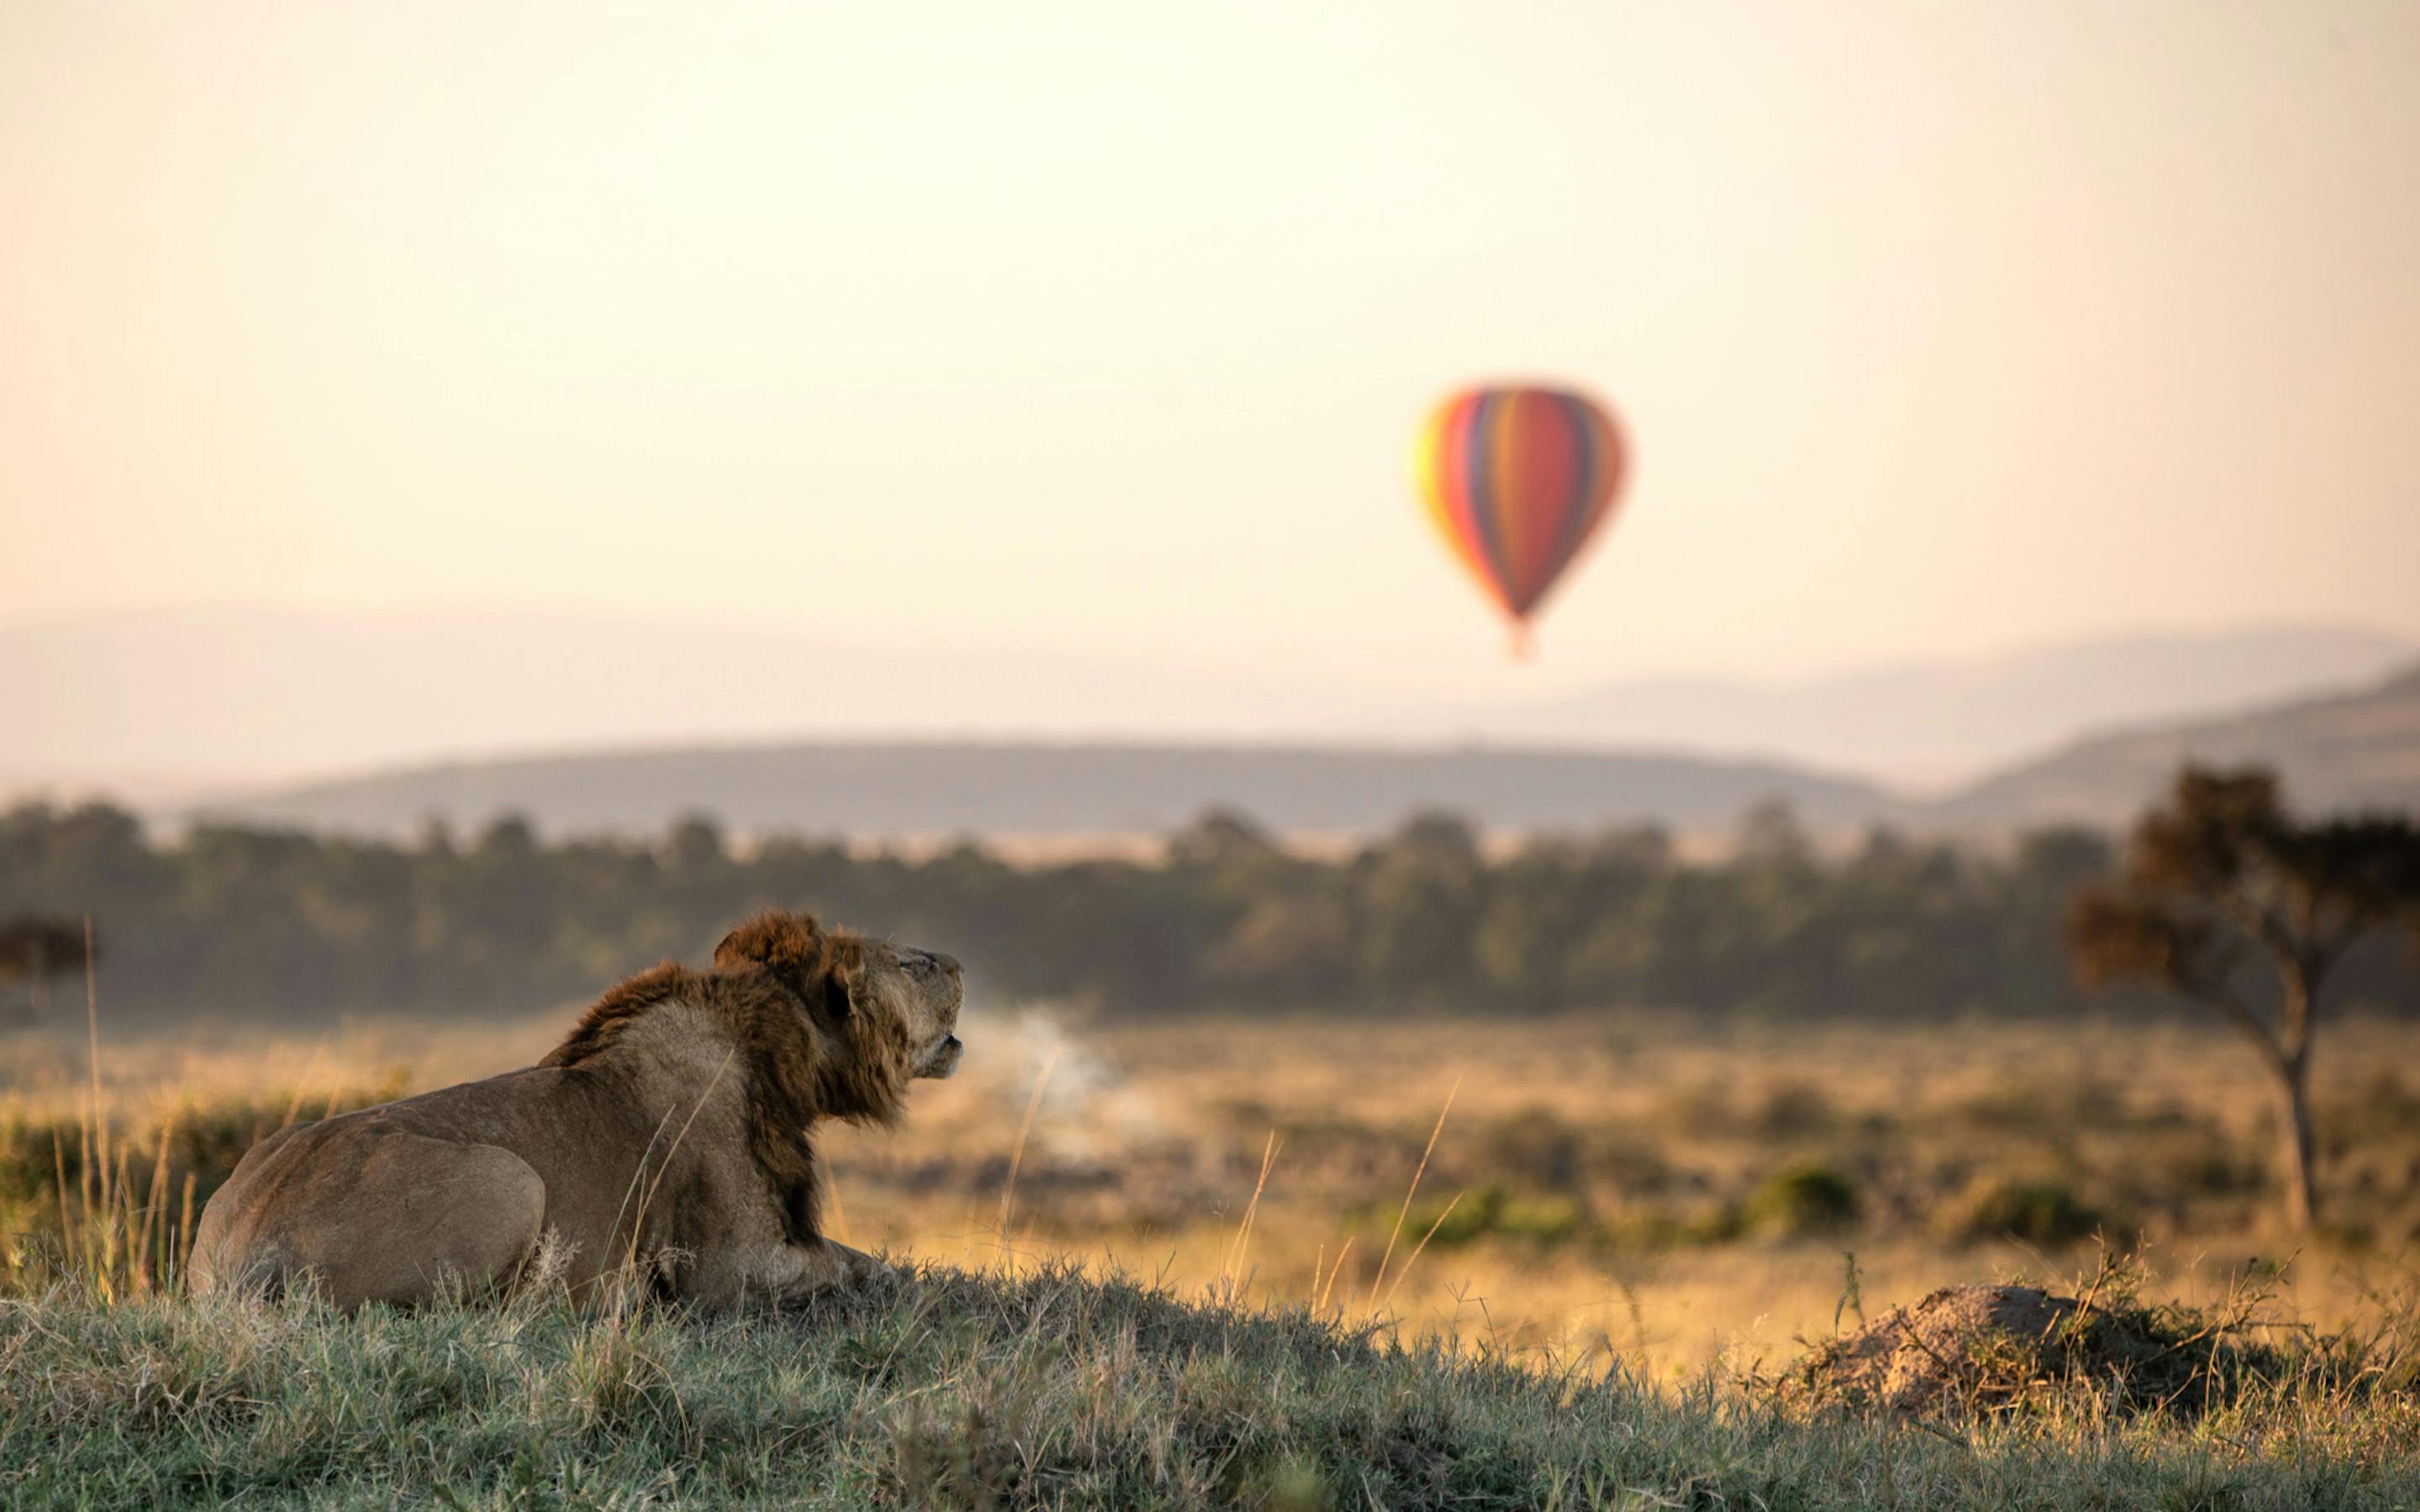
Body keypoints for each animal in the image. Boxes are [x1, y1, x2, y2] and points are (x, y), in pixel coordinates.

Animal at [189, 910, 963, 1310]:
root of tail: (245, 1245)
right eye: (909, 964)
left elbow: (866, 1259)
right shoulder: (729, 1269)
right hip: (512, 1180)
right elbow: (864, 1267)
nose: (958, 963)